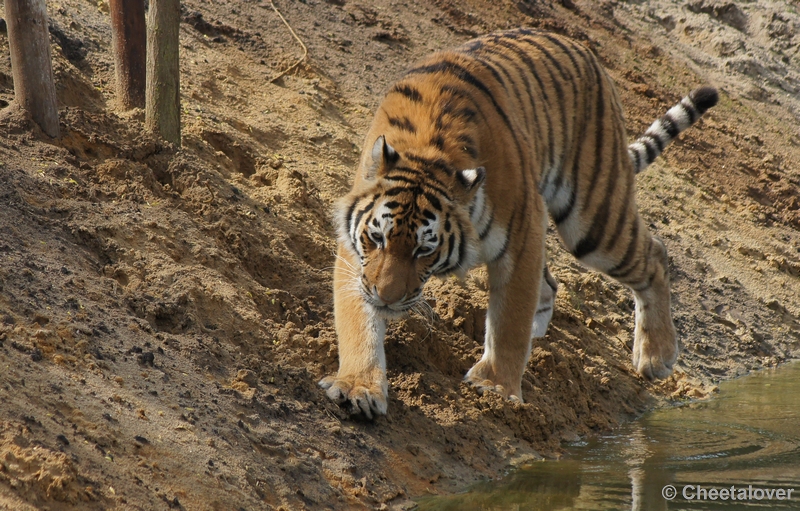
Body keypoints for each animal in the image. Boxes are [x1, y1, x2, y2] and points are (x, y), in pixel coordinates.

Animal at [318, 28, 720, 418]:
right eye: (377, 239)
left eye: (424, 250)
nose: (386, 298)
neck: (426, 151)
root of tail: (584, 50)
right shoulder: (355, 253)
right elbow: (357, 321)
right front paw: (358, 387)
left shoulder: (523, 232)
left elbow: (510, 318)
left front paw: (494, 385)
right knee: (554, 284)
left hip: (593, 220)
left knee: (655, 254)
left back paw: (656, 355)